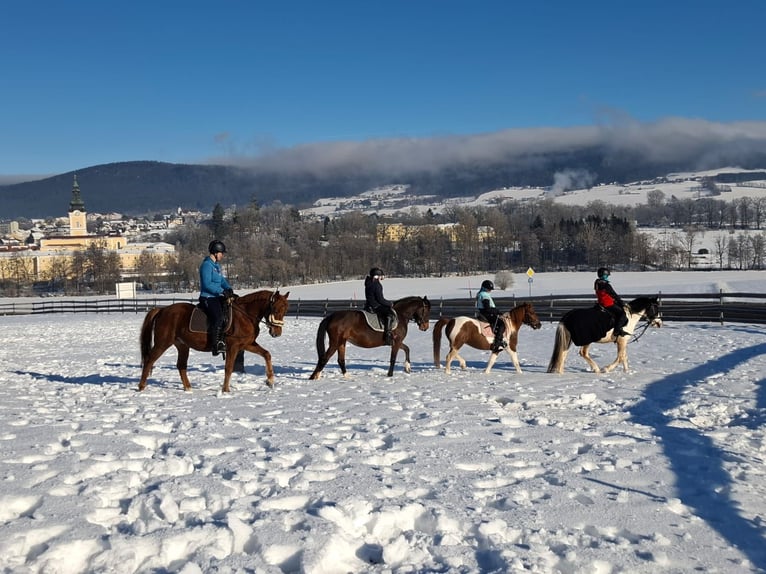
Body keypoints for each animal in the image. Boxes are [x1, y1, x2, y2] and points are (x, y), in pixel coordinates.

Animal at [138, 289, 290, 392]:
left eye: (285, 310)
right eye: (275, 309)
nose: (277, 333)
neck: (245, 315)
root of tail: (162, 310)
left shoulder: (246, 344)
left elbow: (266, 354)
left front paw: (270, 380)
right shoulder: (233, 347)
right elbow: (229, 368)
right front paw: (225, 390)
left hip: (182, 346)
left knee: (181, 366)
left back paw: (188, 388)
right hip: (162, 343)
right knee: (149, 360)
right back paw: (141, 386)